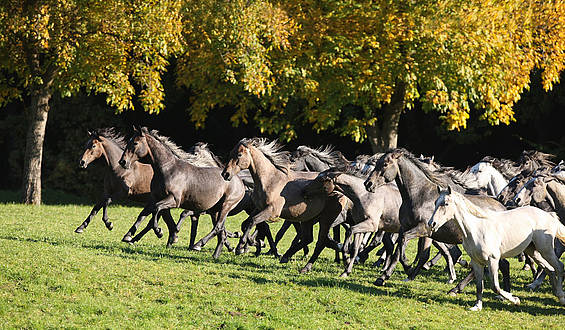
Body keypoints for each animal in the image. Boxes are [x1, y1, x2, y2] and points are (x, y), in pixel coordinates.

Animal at [428, 187, 564, 310]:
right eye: (435, 203)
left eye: (445, 203)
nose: (431, 224)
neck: (476, 229)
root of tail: (548, 215)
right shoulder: (476, 262)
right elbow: (479, 286)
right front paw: (477, 307)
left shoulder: (492, 260)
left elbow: (495, 286)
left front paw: (515, 300)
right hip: (533, 251)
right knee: (550, 269)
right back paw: (556, 294)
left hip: (545, 250)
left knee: (558, 267)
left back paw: (561, 297)